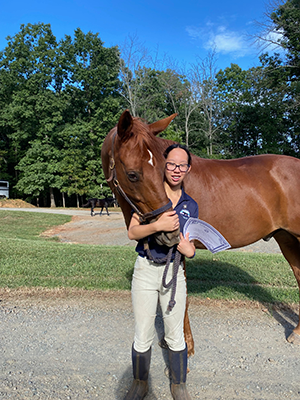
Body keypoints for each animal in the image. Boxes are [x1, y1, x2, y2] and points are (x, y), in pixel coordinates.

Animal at [101, 108, 300, 354]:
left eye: (162, 170)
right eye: (132, 174)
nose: (170, 233)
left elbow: (180, 297)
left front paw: (184, 344)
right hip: (286, 238)